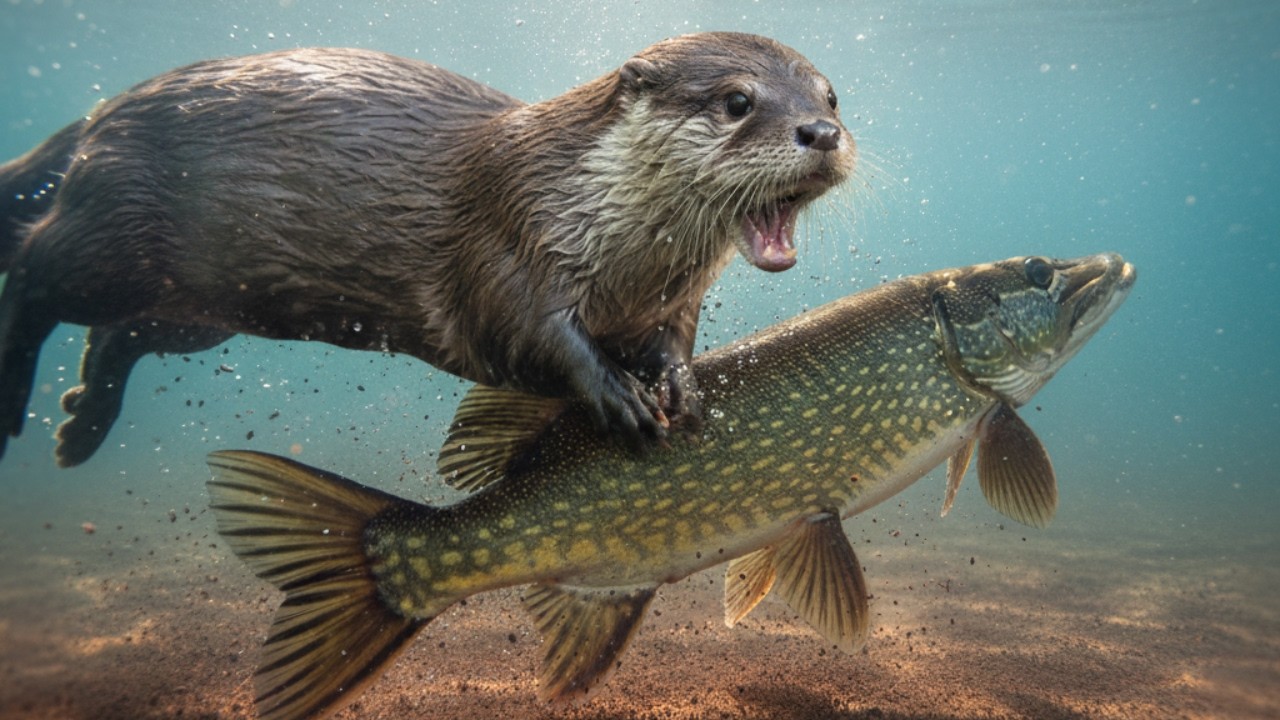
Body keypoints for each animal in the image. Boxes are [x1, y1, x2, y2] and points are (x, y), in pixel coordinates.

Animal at [0, 32, 855, 467]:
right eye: (738, 100)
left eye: (831, 95)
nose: (822, 132)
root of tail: (109, 108)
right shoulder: (508, 245)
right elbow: (531, 337)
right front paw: (616, 395)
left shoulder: (671, 302)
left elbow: (674, 344)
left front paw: (681, 387)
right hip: (114, 234)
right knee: (34, 270)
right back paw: (17, 398)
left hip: (201, 306)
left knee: (122, 334)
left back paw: (82, 423)